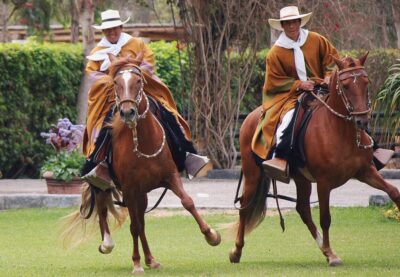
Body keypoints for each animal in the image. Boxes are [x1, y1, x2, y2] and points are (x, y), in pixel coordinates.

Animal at [61, 56, 220, 274]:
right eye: (116, 83)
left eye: (138, 81)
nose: (128, 112)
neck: (143, 142)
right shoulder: (129, 188)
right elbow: (133, 226)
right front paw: (136, 263)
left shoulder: (170, 177)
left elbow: (187, 202)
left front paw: (211, 235)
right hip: (108, 185)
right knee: (103, 208)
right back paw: (107, 243)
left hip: (142, 193)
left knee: (141, 222)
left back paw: (151, 259)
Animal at [228, 52, 400, 266]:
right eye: (345, 85)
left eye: (365, 82)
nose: (362, 121)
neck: (340, 131)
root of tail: (251, 117)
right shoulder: (324, 182)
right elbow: (325, 218)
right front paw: (332, 256)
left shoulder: (366, 171)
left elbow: (394, 192)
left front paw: (329, 252)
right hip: (253, 173)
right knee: (245, 207)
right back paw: (236, 251)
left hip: (301, 179)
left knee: (302, 209)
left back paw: (323, 249)